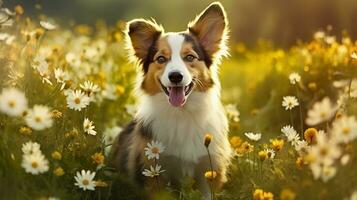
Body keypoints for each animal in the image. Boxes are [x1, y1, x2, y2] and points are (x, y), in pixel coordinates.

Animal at [110, 1, 231, 198]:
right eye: (161, 59)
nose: (175, 76)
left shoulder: (208, 167)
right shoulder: (154, 171)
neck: (181, 113)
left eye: (190, 57)